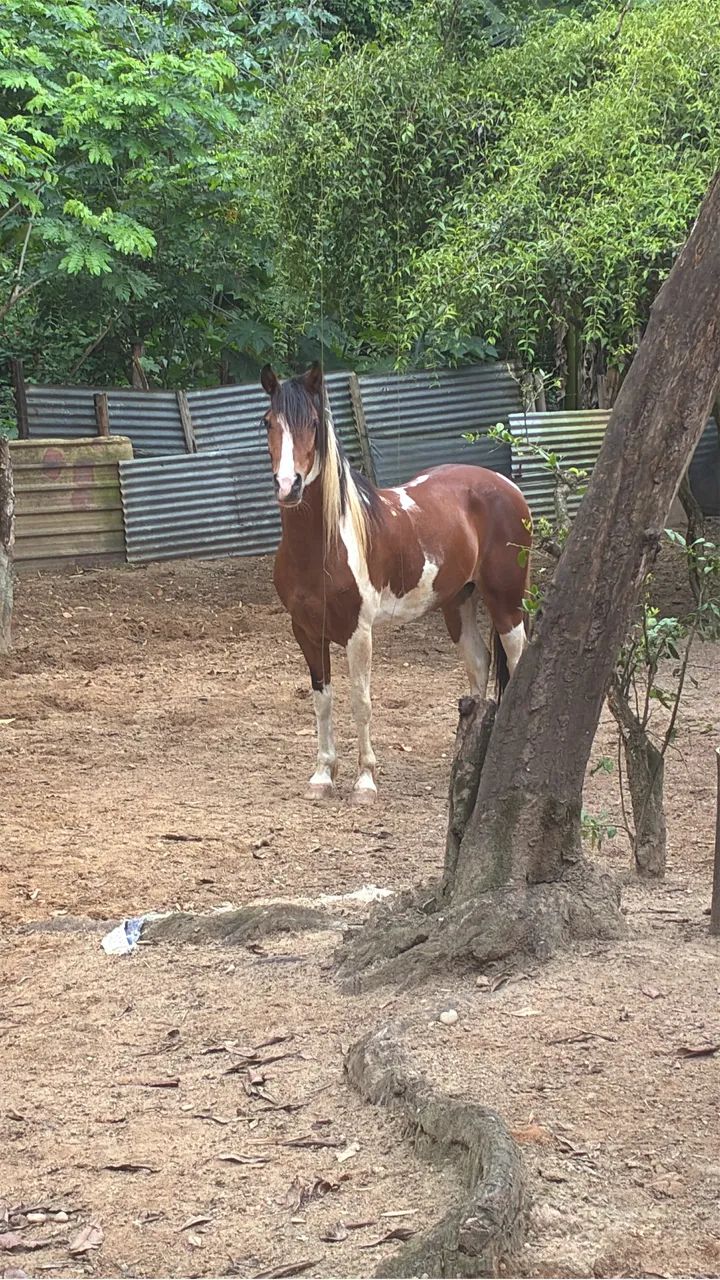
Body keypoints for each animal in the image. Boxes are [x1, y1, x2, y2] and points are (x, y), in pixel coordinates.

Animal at [261, 362, 531, 804]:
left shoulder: (358, 632)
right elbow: (322, 701)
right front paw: (322, 775)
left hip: (507, 603)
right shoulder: (305, 631)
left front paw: (365, 781)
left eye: (313, 424)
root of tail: (507, 486)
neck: (324, 544)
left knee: (517, 661)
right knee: (479, 662)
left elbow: (361, 702)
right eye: (268, 422)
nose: (289, 486)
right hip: (458, 602)